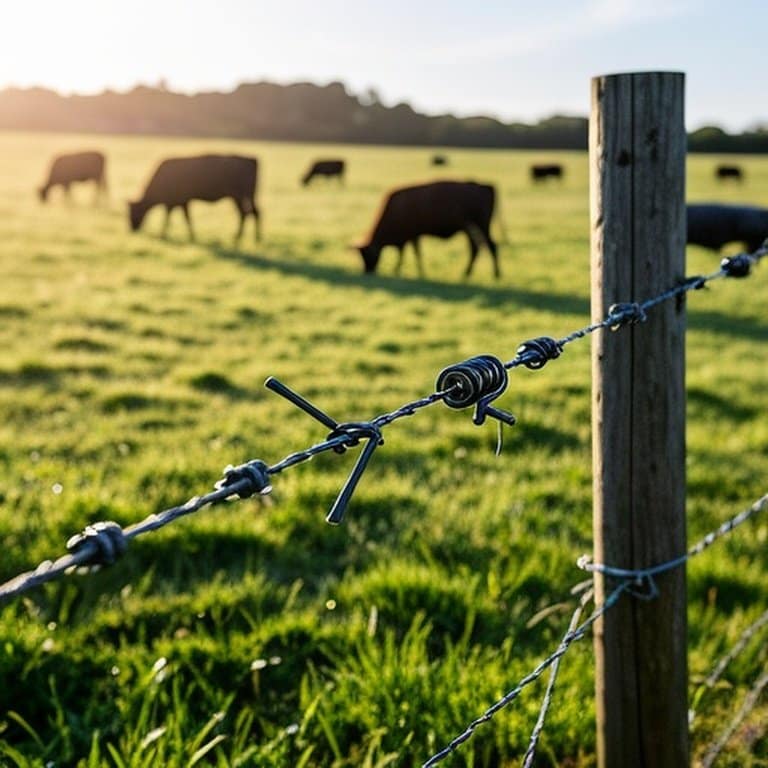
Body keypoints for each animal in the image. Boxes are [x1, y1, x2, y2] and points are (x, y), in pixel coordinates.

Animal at [128, 155, 260, 242]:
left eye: (133, 212)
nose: (132, 229)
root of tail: (253, 159)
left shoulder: (174, 202)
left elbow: (175, 218)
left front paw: (163, 235)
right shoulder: (180, 202)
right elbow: (184, 218)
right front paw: (191, 236)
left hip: (238, 195)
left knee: (245, 213)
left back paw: (239, 237)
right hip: (247, 196)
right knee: (254, 212)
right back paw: (254, 238)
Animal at [355, 180, 500, 279]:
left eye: (368, 255)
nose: (367, 271)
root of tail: (486, 186)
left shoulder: (412, 235)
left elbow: (413, 253)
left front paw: (411, 271)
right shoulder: (410, 237)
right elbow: (406, 253)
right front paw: (400, 269)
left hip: (481, 224)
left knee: (491, 245)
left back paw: (496, 274)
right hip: (469, 227)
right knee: (475, 248)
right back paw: (467, 273)